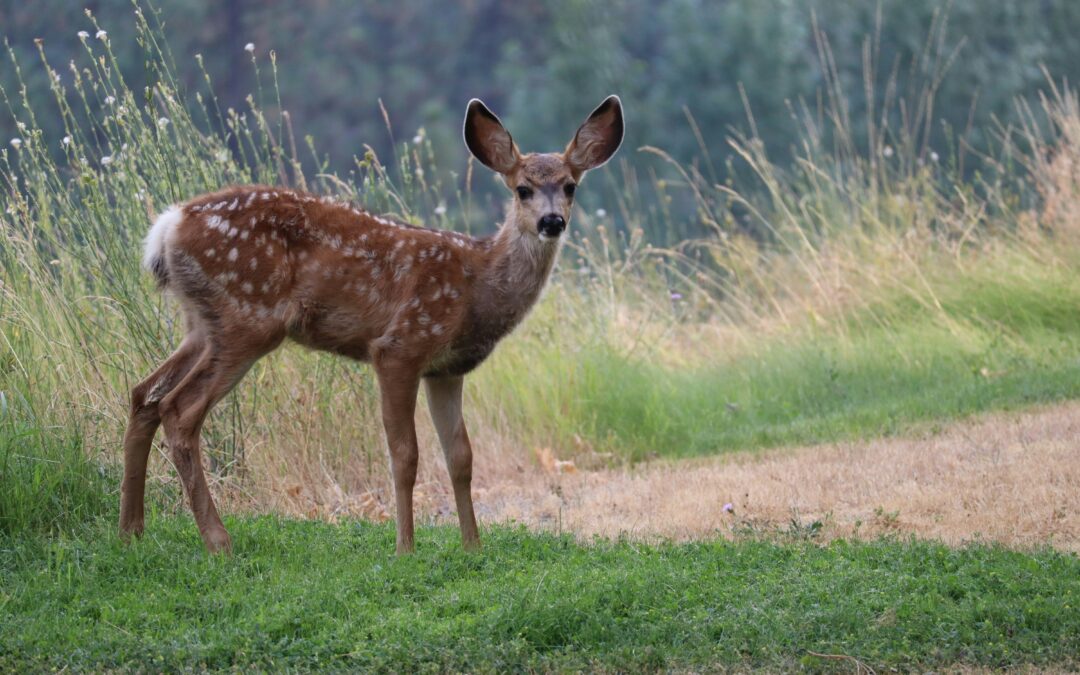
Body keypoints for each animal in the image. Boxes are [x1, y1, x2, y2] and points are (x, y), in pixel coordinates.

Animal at [120, 95, 624, 554]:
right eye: (522, 188)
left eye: (570, 186)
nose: (551, 221)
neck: (476, 285)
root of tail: (167, 226)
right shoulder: (400, 346)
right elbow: (405, 455)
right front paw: (405, 547)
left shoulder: (446, 369)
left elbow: (460, 456)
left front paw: (472, 547)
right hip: (247, 317)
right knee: (180, 409)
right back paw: (218, 541)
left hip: (201, 323)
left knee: (144, 394)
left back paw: (132, 530)